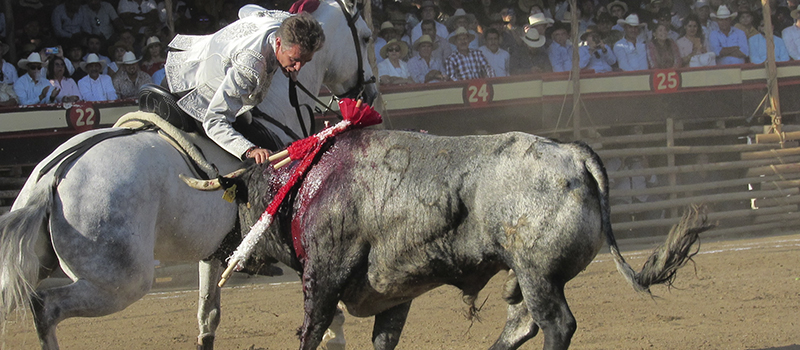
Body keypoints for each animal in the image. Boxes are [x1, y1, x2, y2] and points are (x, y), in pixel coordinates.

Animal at [0, 0, 376, 350]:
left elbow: (208, 314)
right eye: (366, 37)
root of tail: (55, 175)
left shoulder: (213, 251)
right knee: (46, 307)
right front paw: (334, 336)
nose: (370, 92)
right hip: (119, 281)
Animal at [189, 129, 712, 350]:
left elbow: (312, 330)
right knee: (522, 323)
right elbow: (382, 338)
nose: (227, 251)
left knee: (556, 326)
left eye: (242, 205)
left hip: (537, 273)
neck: (306, 185)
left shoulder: (324, 274)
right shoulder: (392, 293)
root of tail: (571, 154)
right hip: (529, 278)